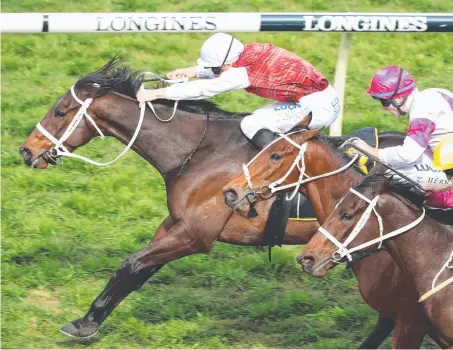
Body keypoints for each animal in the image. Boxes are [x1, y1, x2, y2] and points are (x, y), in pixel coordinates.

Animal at [20, 56, 396, 344]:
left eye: (61, 111)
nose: (26, 151)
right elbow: (138, 269)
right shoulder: (174, 224)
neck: (198, 152)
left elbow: (131, 263)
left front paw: (84, 323)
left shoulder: (195, 235)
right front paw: (88, 321)